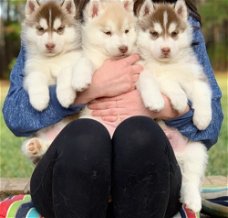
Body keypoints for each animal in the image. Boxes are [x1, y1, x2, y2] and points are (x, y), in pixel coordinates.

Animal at [135, 0, 212, 212]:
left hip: (196, 149)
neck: (168, 64)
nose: (166, 49)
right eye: (154, 34)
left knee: (191, 179)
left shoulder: (196, 76)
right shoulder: (149, 72)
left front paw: (203, 119)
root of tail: (177, 155)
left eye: (174, 33)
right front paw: (176, 100)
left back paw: (193, 201)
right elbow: (169, 83)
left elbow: (203, 94)